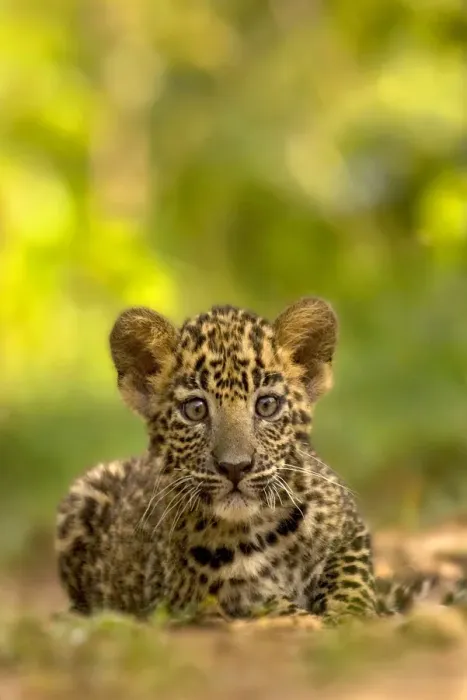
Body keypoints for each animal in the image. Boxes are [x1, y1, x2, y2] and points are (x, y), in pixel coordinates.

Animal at [55, 297, 467, 626]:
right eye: (195, 409)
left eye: (267, 405)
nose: (235, 467)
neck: (264, 527)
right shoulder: (205, 592)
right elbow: (266, 603)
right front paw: (308, 621)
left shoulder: (351, 533)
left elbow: (350, 580)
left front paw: (352, 615)